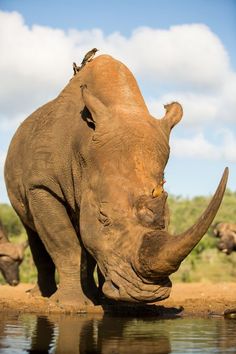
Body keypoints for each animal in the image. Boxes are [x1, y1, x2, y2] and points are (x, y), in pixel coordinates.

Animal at [4, 54, 228, 306]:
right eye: (104, 218)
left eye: (168, 219)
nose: (147, 294)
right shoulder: (42, 186)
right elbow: (65, 244)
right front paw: (70, 304)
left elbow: (89, 241)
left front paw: (110, 302)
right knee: (32, 230)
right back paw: (42, 295)